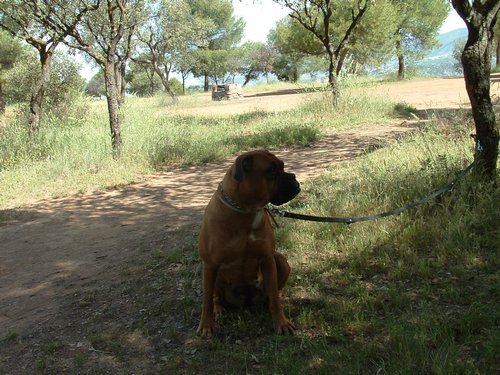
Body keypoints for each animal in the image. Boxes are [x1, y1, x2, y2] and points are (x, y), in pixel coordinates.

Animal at [198, 150, 300, 338]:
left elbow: (275, 298)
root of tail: (245, 301)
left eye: (282, 166)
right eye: (271, 171)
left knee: (272, 295)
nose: (293, 176)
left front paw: (281, 322)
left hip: (280, 261)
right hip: (214, 277)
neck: (245, 210)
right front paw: (206, 325)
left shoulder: (268, 259)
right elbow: (206, 301)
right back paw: (218, 308)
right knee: (214, 298)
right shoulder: (209, 264)